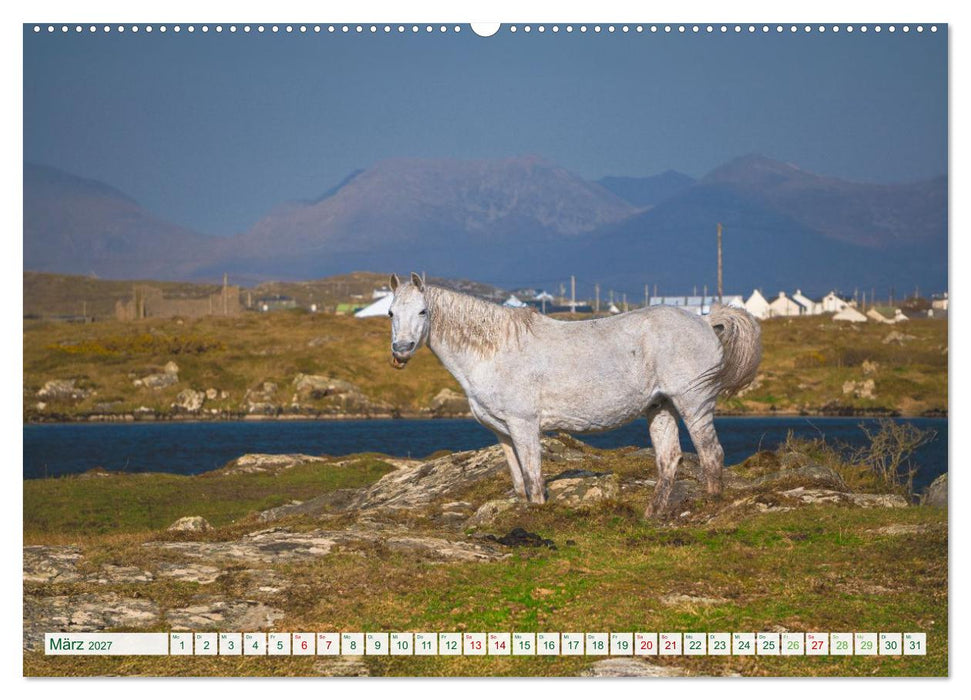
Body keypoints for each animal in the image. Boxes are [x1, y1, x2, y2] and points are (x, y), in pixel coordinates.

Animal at [387, 272, 761, 518]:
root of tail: (707, 321)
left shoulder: (524, 425)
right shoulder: (502, 431)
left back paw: (709, 507)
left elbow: (534, 477)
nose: (401, 350)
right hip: (661, 406)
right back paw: (651, 515)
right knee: (669, 459)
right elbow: (518, 479)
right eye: (391, 312)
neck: (494, 351)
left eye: (423, 311)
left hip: (693, 401)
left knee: (710, 453)